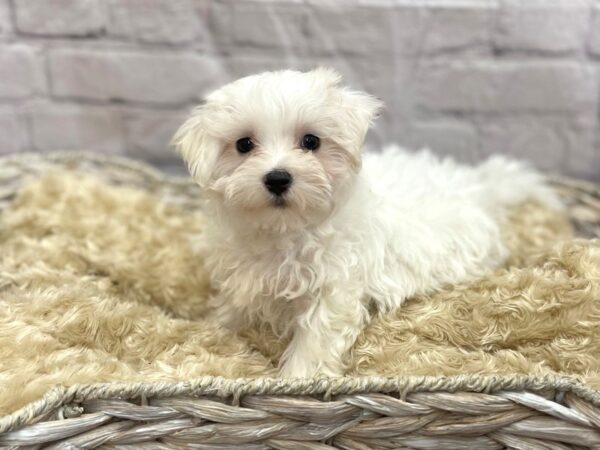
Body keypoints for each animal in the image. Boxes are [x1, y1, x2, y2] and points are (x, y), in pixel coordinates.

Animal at [171, 67, 560, 378]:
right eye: (243, 145)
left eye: (310, 141)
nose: (278, 178)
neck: (285, 231)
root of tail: (479, 185)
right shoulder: (245, 275)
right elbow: (234, 310)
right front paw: (215, 328)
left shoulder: (335, 285)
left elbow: (316, 334)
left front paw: (296, 379)